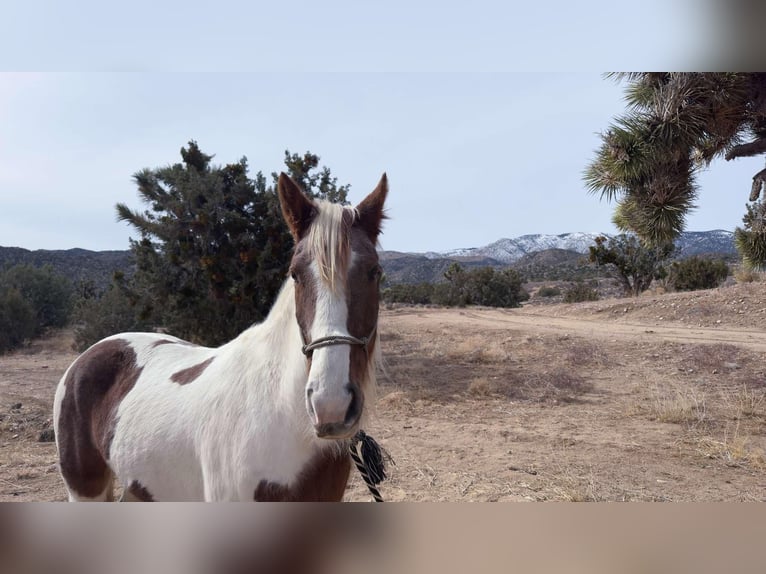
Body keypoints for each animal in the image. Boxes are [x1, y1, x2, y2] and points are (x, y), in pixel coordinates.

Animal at [52, 173, 390, 502]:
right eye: (296, 274)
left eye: (374, 272)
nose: (330, 404)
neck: (282, 414)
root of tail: (91, 353)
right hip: (84, 491)